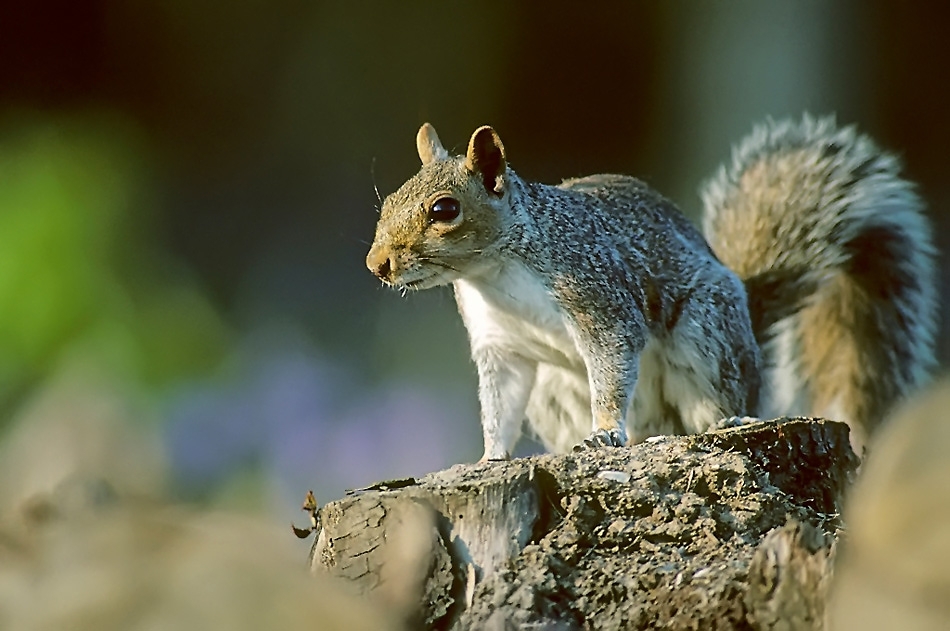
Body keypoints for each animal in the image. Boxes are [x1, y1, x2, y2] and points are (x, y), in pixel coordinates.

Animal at [366, 115, 937, 460]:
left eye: (444, 209)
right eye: (388, 201)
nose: (377, 265)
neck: (493, 274)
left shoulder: (599, 297)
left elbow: (614, 360)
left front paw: (604, 429)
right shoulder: (500, 345)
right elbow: (499, 404)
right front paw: (490, 457)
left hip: (707, 332)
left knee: (716, 399)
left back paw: (728, 419)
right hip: (553, 391)